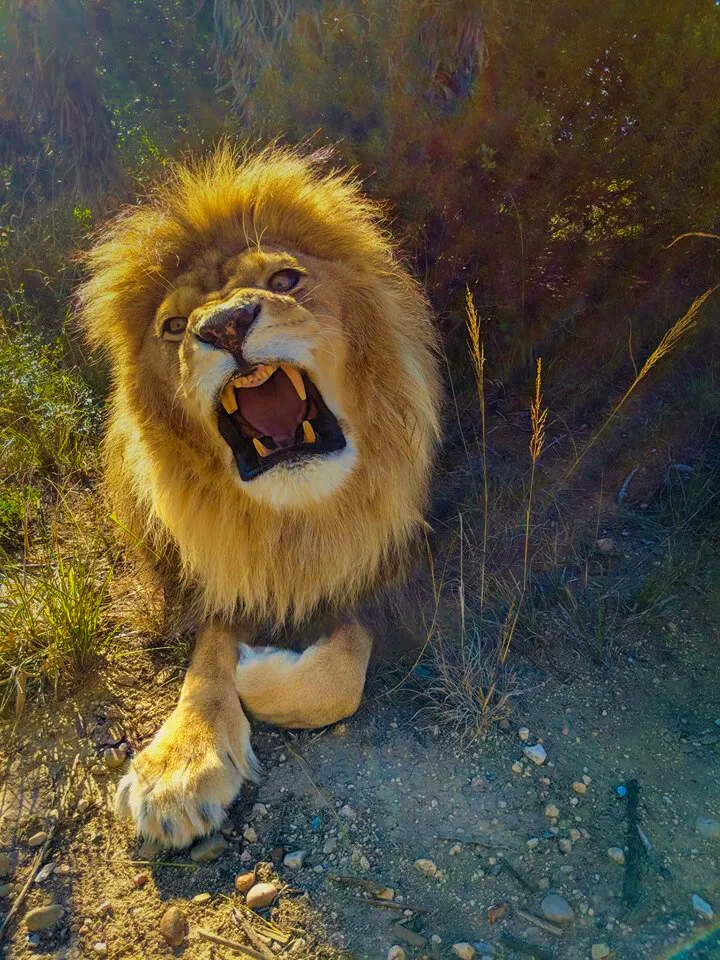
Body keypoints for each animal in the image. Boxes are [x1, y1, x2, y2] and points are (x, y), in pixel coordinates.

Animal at [77, 145, 441, 848]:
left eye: (285, 280)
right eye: (173, 325)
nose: (224, 325)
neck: (293, 522)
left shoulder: (378, 576)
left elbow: (338, 679)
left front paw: (258, 670)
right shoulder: (224, 576)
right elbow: (210, 658)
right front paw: (180, 765)